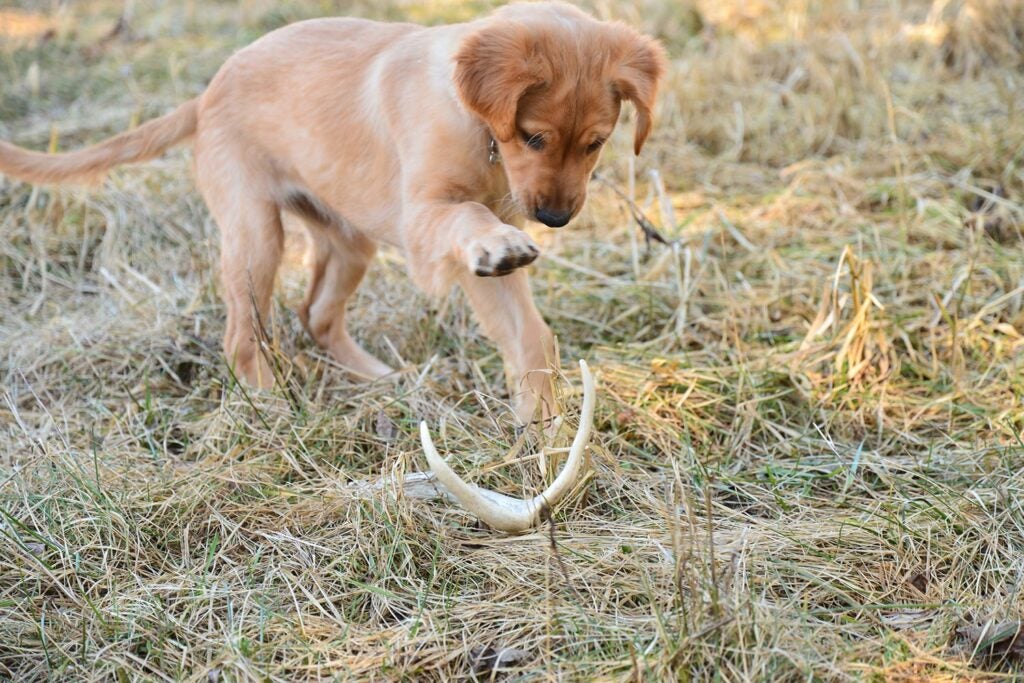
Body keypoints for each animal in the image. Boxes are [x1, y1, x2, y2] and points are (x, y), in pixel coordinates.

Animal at [0, 2, 667, 423]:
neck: (477, 127)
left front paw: (543, 427)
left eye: (596, 143)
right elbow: (469, 221)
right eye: (534, 137)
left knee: (316, 314)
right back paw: (271, 407)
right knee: (243, 337)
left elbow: (529, 334)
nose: (553, 219)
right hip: (255, 235)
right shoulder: (427, 220)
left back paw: (375, 377)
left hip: (348, 240)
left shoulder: (480, 268)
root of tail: (207, 92)